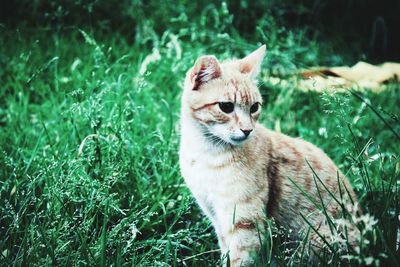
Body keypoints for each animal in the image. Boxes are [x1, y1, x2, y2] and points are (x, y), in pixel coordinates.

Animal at [178, 45, 356, 266]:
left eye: (254, 107)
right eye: (226, 107)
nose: (247, 130)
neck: (206, 154)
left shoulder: (245, 223)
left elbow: (238, 258)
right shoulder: (215, 215)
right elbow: (225, 250)